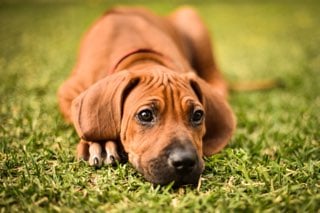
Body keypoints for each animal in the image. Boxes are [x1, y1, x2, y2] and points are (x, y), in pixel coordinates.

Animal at [58, 6, 236, 186]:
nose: (185, 162)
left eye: (198, 115)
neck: (142, 56)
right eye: (145, 115)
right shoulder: (67, 91)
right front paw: (101, 142)